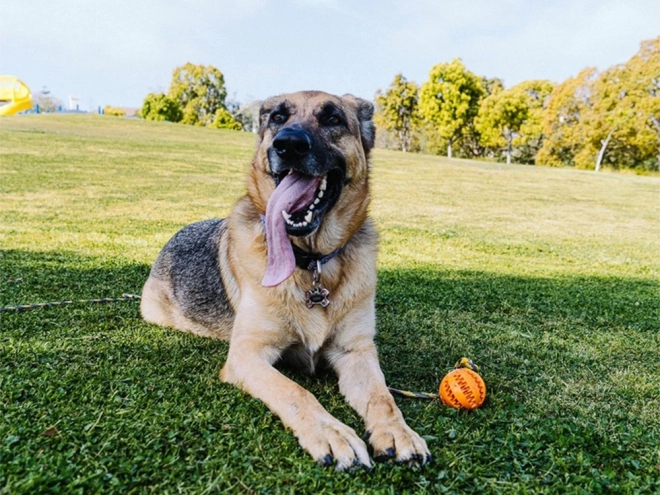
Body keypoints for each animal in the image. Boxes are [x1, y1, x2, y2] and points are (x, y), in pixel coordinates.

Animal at [141, 91, 430, 470]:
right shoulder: (247, 356)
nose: (288, 144)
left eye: (333, 118)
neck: (311, 264)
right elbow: (296, 391)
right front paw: (331, 432)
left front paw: (398, 432)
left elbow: (382, 397)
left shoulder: (356, 352)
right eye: (278, 117)